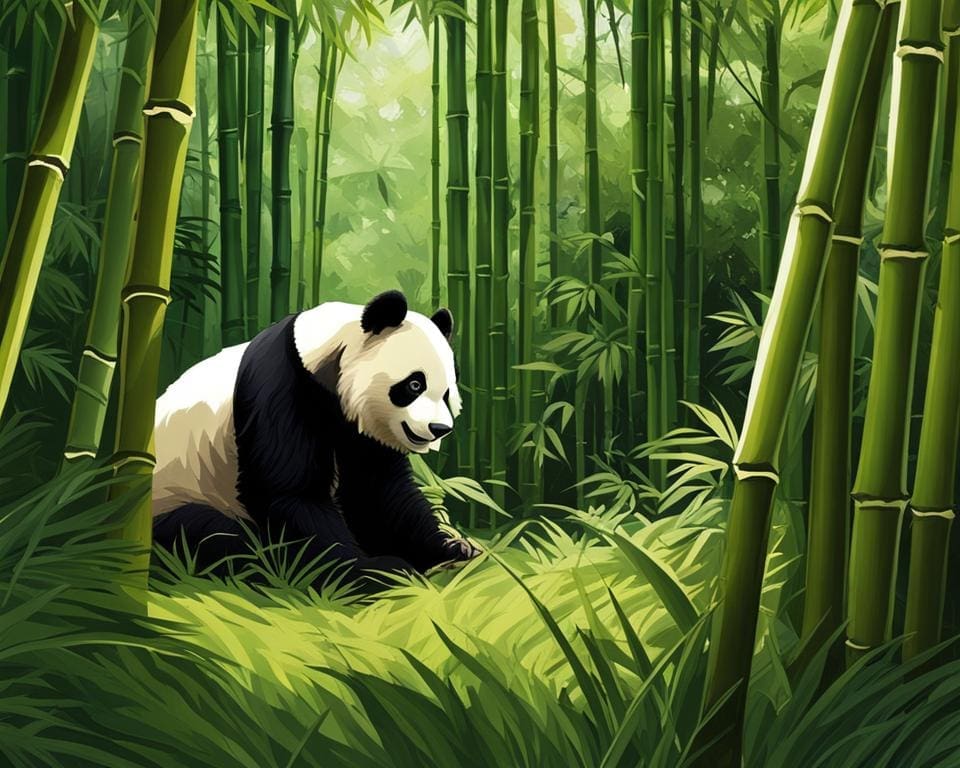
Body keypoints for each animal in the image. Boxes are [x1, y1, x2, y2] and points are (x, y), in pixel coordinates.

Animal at [151, 290, 480, 593]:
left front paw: (452, 548)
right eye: (414, 384)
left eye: (447, 392)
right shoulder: (280, 385)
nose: (439, 428)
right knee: (209, 534)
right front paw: (374, 571)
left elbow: (378, 490)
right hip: (174, 495)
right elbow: (290, 492)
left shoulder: (354, 425)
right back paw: (264, 566)